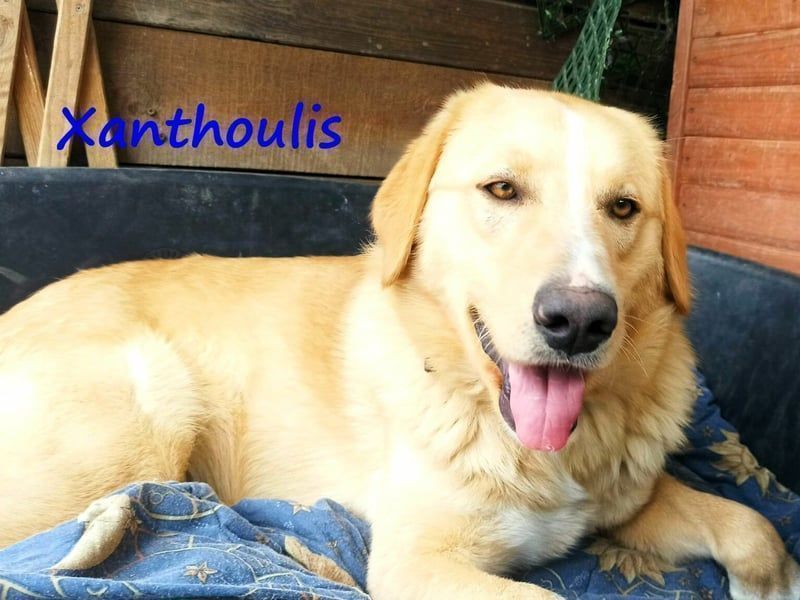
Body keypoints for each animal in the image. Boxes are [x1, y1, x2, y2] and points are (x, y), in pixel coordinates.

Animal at [1, 84, 798, 599]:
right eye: (502, 190)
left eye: (624, 207)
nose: (579, 321)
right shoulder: (417, 563)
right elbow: (545, 594)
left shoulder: (630, 501)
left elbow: (753, 524)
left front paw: (774, 582)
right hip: (149, 412)